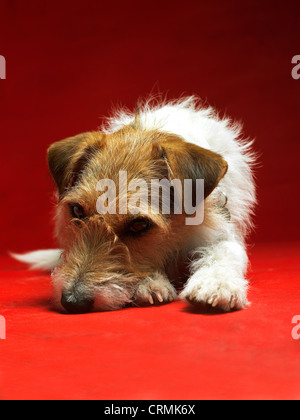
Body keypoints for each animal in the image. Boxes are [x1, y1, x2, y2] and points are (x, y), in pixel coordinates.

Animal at [14, 97, 256, 312]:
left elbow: (224, 252)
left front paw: (216, 284)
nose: (73, 301)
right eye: (77, 211)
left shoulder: (221, 232)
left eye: (139, 224)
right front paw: (150, 283)